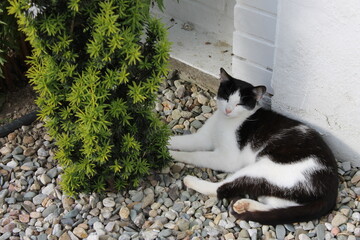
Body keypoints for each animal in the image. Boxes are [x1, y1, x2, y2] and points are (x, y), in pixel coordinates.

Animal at [169, 68, 338, 225]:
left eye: (239, 104)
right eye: (226, 97)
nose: (228, 110)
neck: (225, 121)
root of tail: (331, 189)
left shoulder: (227, 159)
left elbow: (196, 155)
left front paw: (171, 155)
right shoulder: (201, 138)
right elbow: (180, 141)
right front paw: (164, 146)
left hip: (266, 168)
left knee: (221, 189)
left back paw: (191, 181)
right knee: (279, 205)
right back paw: (245, 204)